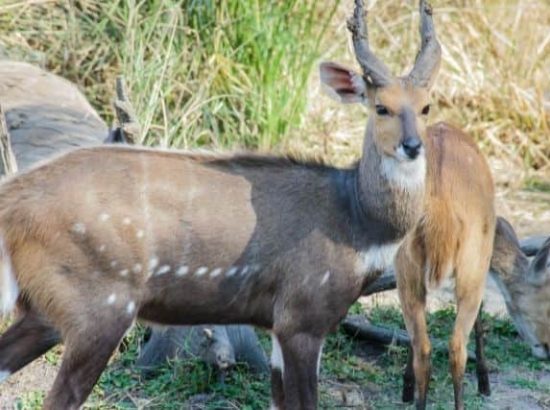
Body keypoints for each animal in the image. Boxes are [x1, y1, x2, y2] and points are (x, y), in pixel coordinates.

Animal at [326, 0, 498, 410]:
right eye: (382, 107)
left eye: (424, 106)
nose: (411, 145)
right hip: (460, 267)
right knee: (447, 347)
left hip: (442, 267)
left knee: (438, 345)